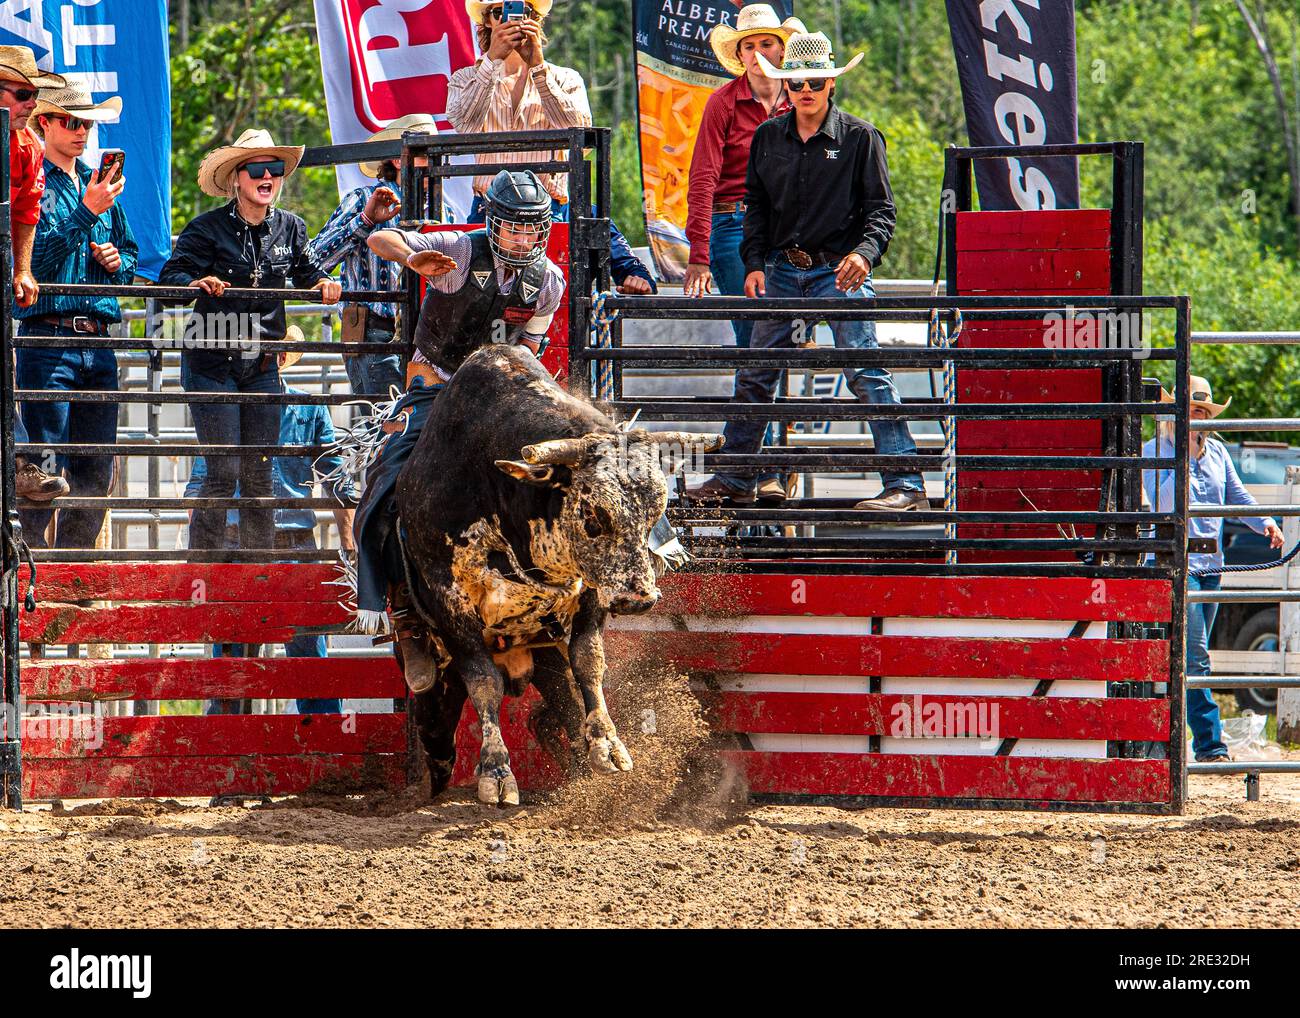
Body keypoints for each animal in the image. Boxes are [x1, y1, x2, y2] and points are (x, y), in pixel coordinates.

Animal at [392, 345, 722, 806]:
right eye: (592, 515)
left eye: (655, 509)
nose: (639, 598)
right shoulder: (450, 600)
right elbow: (484, 681)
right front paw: (496, 771)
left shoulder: (591, 589)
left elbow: (588, 661)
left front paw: (607, 744)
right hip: (437, 663)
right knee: (436, 718)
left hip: (541, 647)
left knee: (558, 698)